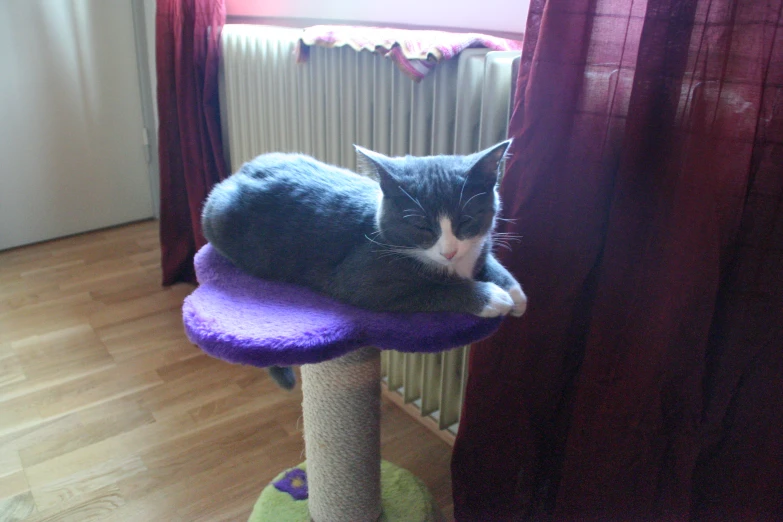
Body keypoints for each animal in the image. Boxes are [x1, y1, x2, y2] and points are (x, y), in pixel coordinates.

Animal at [205, 140, 528, 388]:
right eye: (422, 227)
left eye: (466, 221)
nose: (448, 251)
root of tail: (237, 174)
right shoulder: (363, 276)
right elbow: (432, 288)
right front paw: (490, 296)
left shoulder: (477, 246)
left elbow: (487, 258)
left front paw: (515, 293)